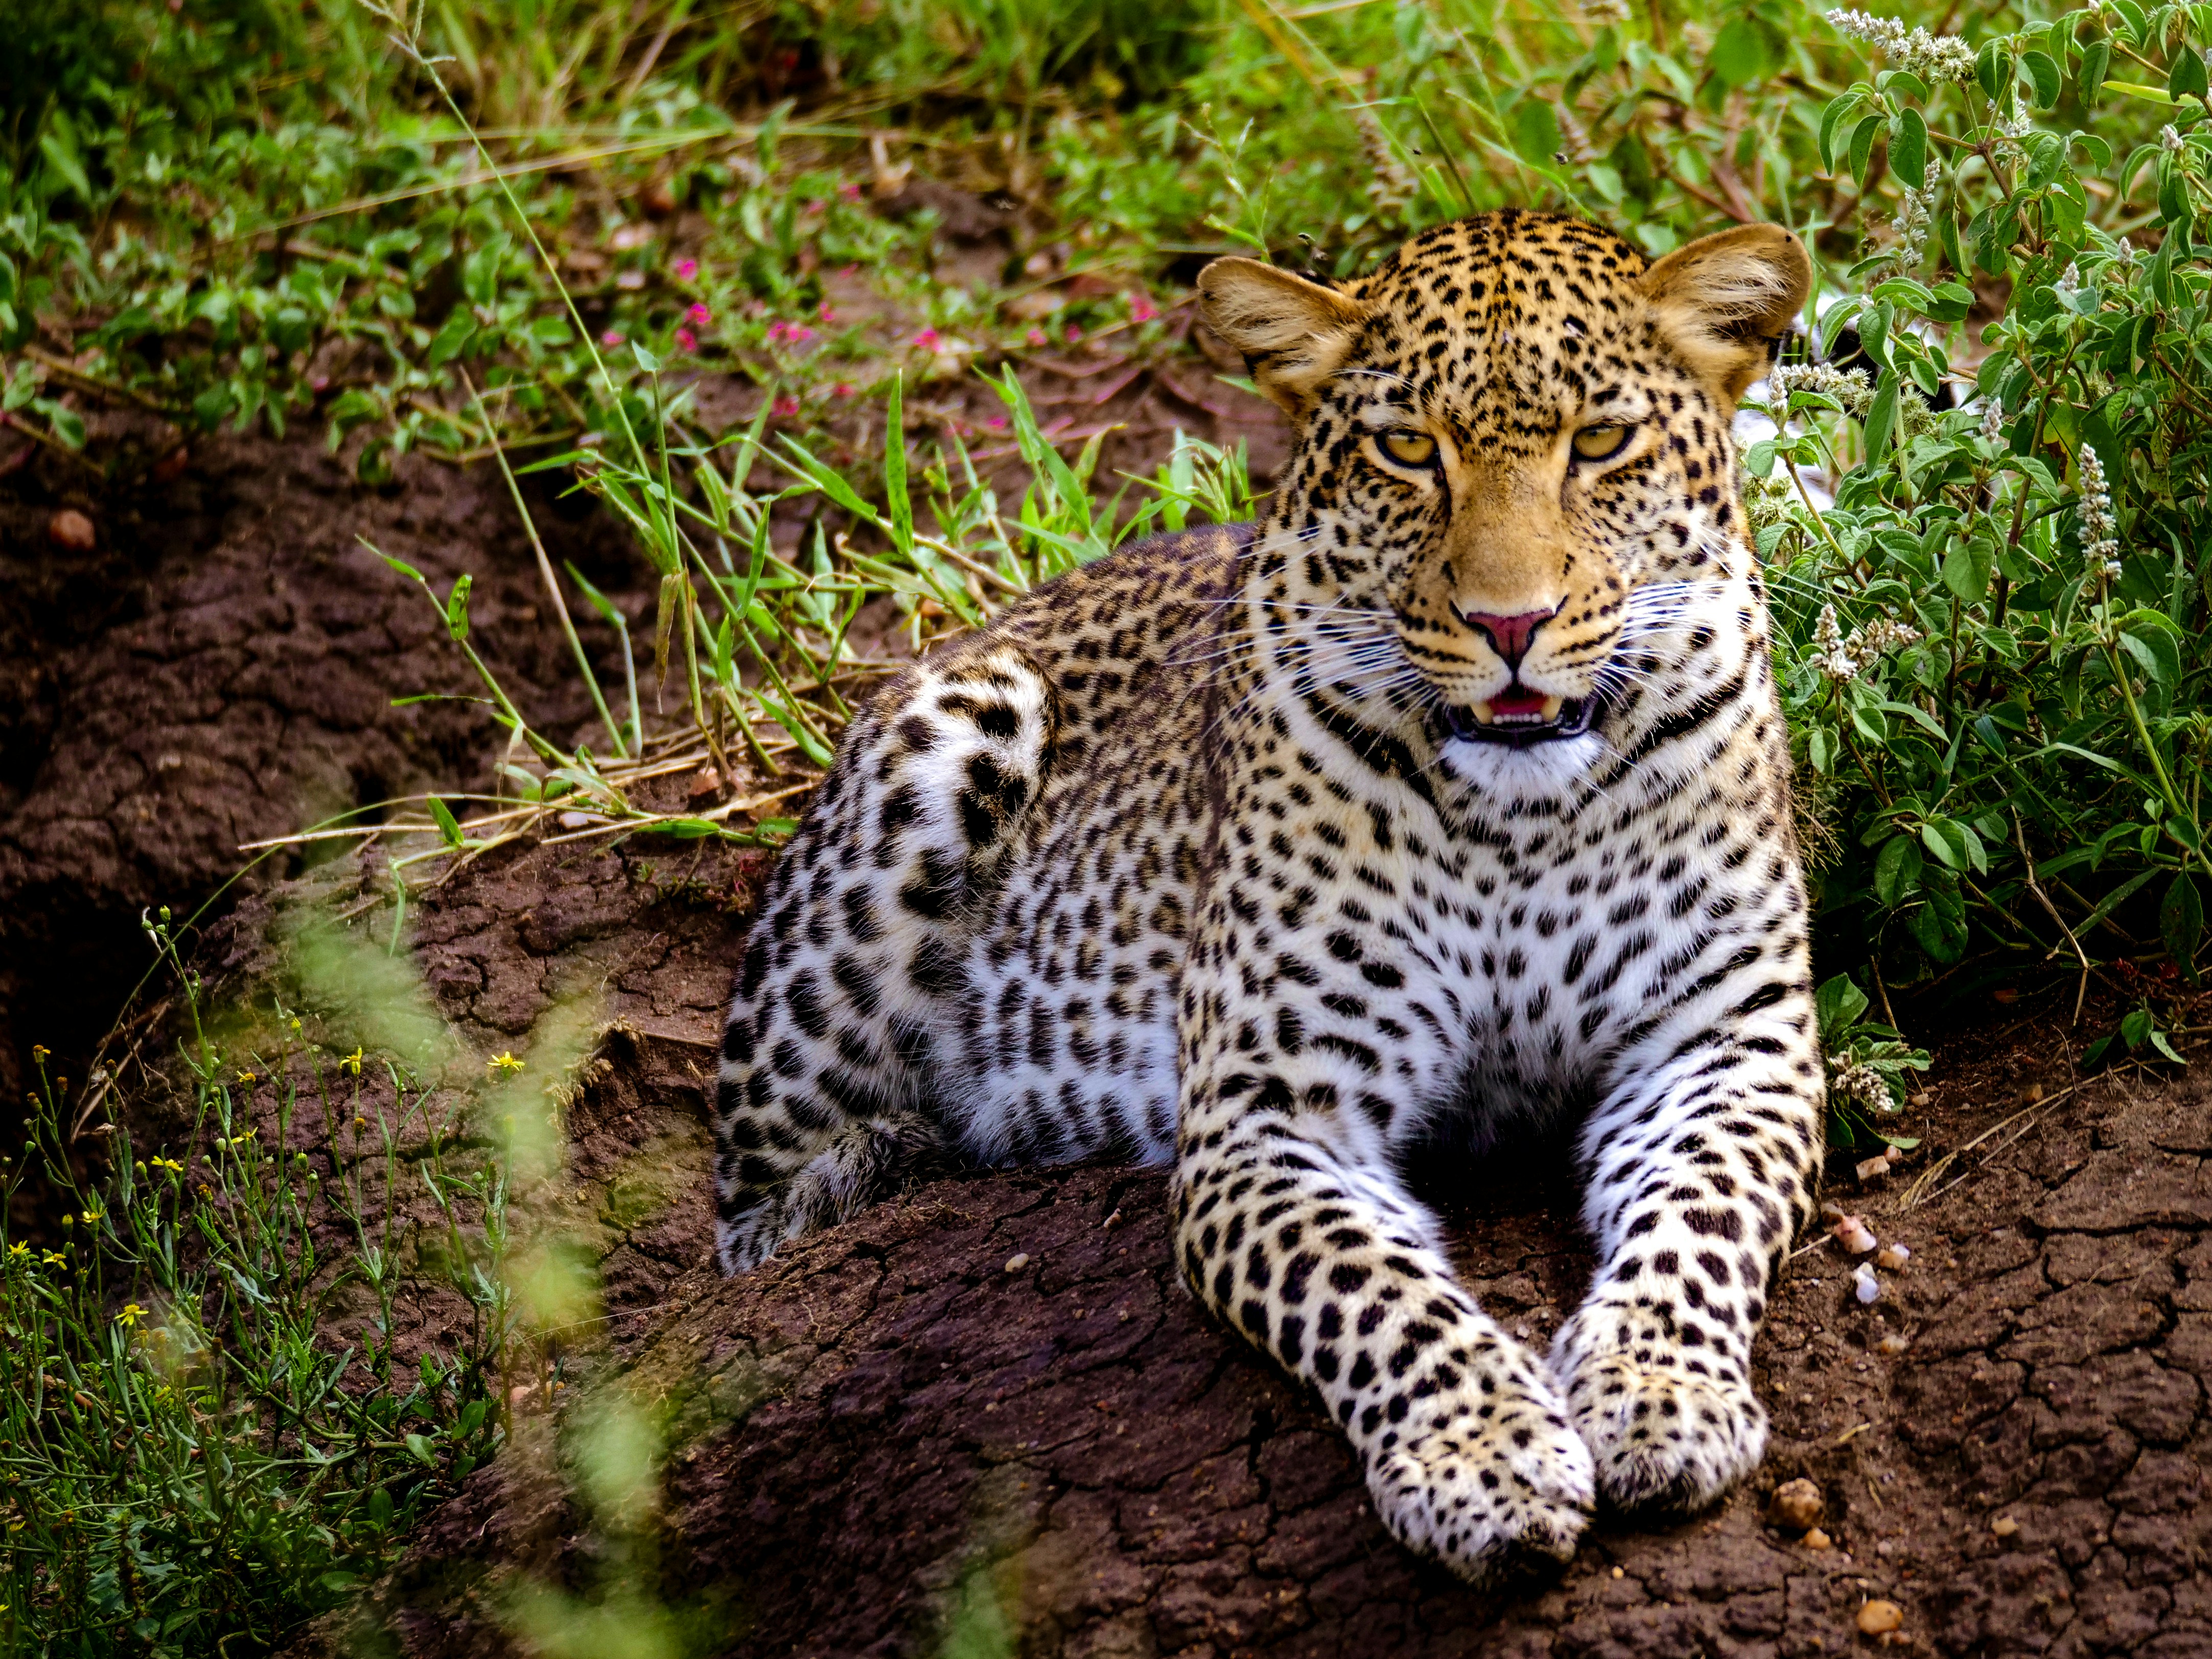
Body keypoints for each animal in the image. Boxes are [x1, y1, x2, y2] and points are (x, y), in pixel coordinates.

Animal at [716, 211, 1823, 1583]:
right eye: (1407, 450)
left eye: (1600, 442)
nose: (1508, 624)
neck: (1516, 817)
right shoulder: (1270, 1115)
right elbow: (1377, 1294)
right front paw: (1486, 1459)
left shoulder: (1725, 1046)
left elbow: (1699, 1222)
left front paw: (1658, 1396)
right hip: (945, 740)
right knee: (747, 1229)